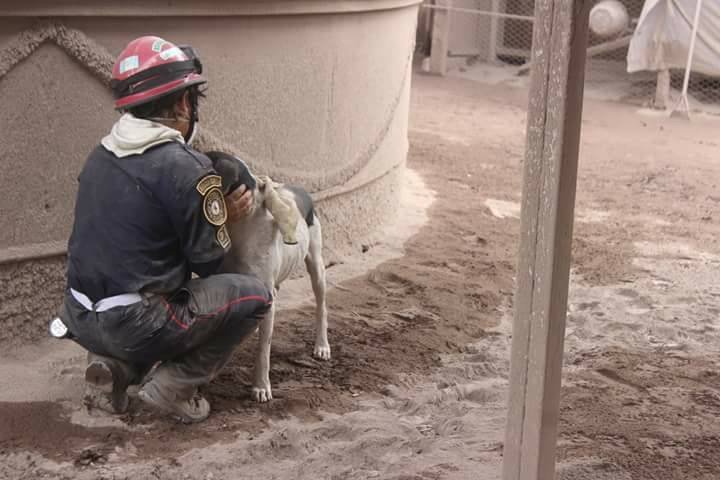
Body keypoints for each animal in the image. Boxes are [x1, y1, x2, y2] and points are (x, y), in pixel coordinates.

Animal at [204, 151, 330, 402]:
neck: (240, 226)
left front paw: (261, 387)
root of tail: (299, 189)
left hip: (316, 266)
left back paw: (322, 346)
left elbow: (263, 350)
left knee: (321, 307)